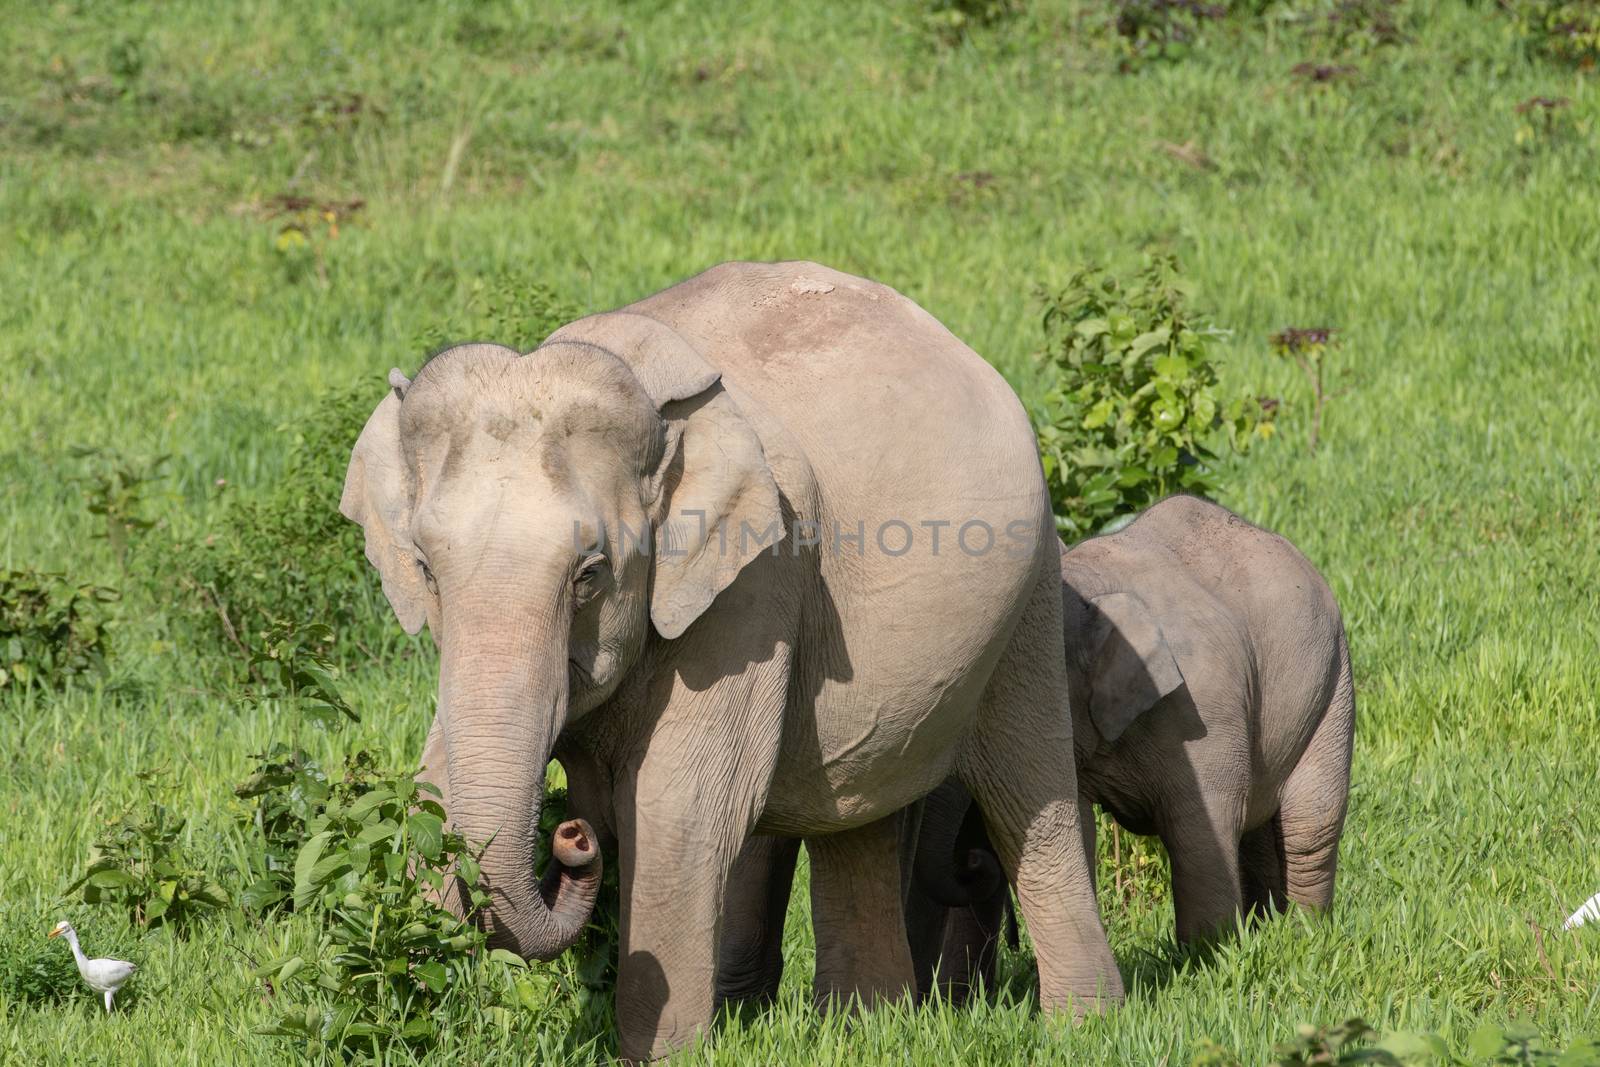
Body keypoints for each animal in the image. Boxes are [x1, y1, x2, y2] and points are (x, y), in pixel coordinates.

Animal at [340, 260, 1113, 1062]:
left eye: (590, 573)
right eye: (425, 569)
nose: (571, 838)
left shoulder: (759, 574)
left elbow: (679, 805)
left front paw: (660, 1054)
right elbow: (430, 784)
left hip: (1031, 591)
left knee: (1029, 796)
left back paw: (1085, 1026)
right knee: (858, 809)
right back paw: (867, 1027)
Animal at [915, 495, 1350, 998]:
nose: (972, 861)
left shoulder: (1203, 708)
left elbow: (1203, 826)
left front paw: (1207, 959)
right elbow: (1079, 827)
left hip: (1333, 683)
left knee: (1311, 823)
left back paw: (1304, 932)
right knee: (1260, 832)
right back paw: (1271, 928)